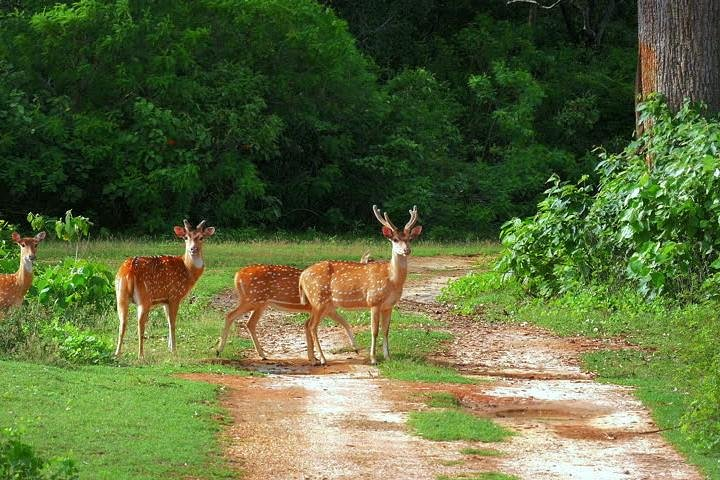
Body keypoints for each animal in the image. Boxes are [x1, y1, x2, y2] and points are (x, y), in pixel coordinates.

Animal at [114, 219, 215, 358]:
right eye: (185, 237)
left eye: (201, 237)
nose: (192, 249)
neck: (188, 271)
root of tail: (129, 270)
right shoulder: (174, 296)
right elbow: (172, 323)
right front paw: (174, 350)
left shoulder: (164, 301)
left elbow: (167, 321)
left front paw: (169, 348)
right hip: (144, 297)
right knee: (140, 323)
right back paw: (141, 354)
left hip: (120, 295)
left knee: (122, 322)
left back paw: (117, 353)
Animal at [214, 262, 360, 360]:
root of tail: (237, 275)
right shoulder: (324, 308)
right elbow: (342, 323)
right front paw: (356, 348)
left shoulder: (325, 309)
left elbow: (340, 323)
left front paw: (313, 357)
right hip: (253, 299)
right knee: (230, 315)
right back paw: (219, 350)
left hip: (259, 303)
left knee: (249, 323)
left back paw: (262, 354)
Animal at [300, 204, 422, 366]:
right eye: (395, 239)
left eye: (410, 239)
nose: (406, 250)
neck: (392, 280)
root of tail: (302, 275)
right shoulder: (374, 300)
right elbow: (374, 331)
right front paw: (373, 359)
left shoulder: (389, 305)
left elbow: (386, 330)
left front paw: (388, 357)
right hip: (318, 298)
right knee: (313, 326)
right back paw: (322, 359)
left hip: (322, 303)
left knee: (306, 324)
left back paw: (312, 359)